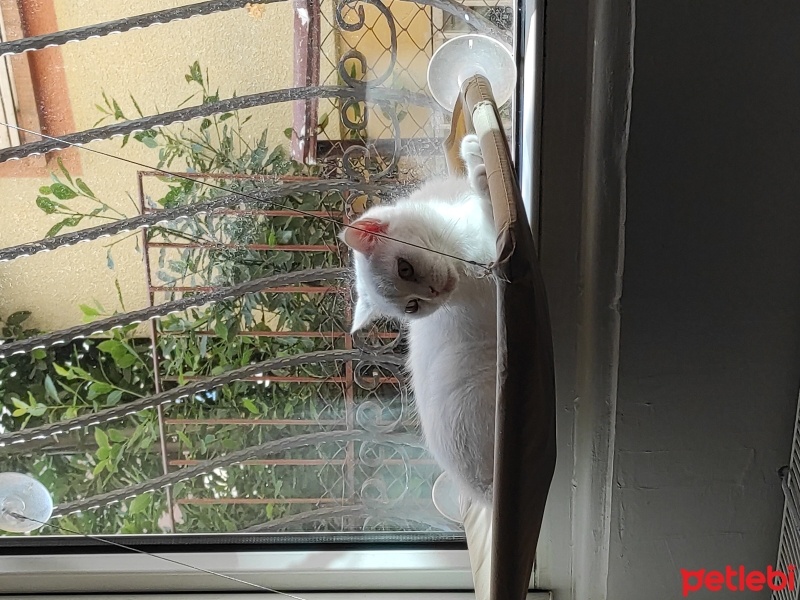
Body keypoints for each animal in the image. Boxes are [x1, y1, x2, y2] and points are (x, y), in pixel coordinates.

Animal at [340, 135, 496, 506]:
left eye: (404, 268)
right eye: (412, 306)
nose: (434, 292)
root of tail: (481, 493)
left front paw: (472, 149)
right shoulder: (490, 262)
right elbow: (489, 214)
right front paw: (482, 176)